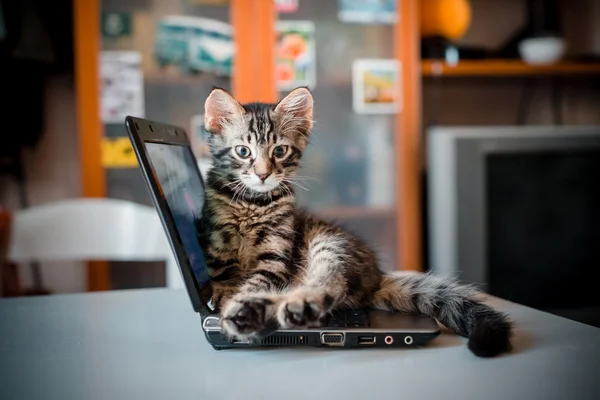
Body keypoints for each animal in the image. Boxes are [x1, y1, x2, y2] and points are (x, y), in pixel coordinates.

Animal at [199, 86, 512, 356]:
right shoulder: (216, 243)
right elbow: (224, 276)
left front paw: (235, 305)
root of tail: (374, 279)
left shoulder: (276, 255)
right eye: (243, 151)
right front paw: (225, 299)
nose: (263, 174)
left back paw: (281, 307)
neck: (253, 204)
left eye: (280, 151)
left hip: (328, 244)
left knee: (329, 287)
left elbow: (258, 281)